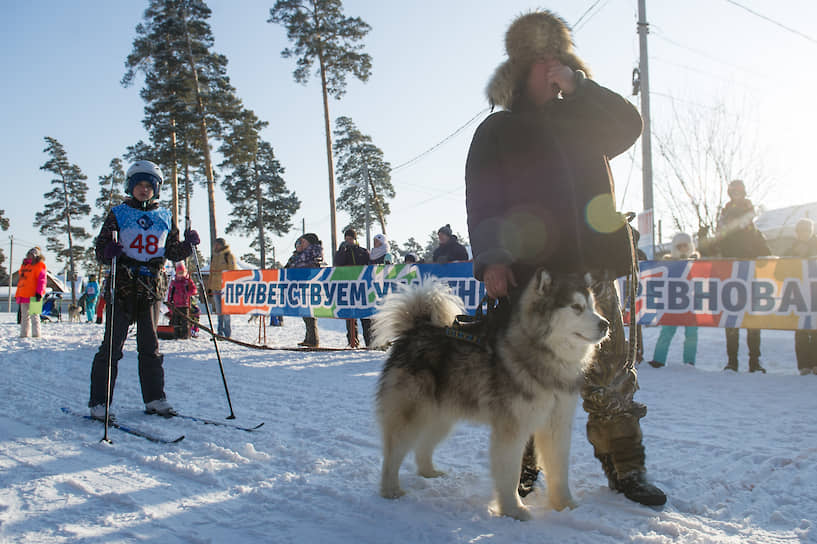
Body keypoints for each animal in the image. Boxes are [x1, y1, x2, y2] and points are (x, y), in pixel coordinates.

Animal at [372, 270, 608, 520]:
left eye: (592, 306)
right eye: (576, 307)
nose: (606, 324)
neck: (545, 358)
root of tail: (416, 330)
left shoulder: (557, 424)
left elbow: (559, 469)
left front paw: (565, 504)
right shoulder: (512, 429)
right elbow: (510, 474)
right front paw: (513, 510)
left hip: (441, 417)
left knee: (422, 446)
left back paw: (429, 472)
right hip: (411, 415)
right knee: (392, 454)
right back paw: (391, 490)